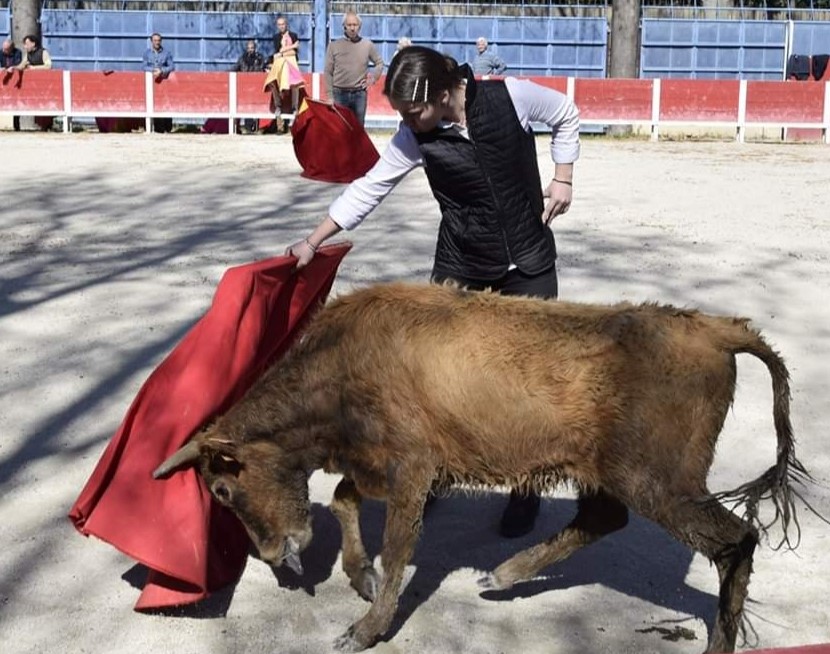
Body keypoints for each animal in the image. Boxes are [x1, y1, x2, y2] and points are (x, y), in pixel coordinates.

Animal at [154, 284, 820, 654]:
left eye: (222, 488)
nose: (275, 558)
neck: (340, 368)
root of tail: (714, 330)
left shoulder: (411, 470)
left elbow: (398, 544)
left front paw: (364, 628)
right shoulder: (378, 465)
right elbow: (344, 500)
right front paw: (361, 577)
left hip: (665, 485)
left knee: (736, 540)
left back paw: (719, 644)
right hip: (613, 474)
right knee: (604, 519)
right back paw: (501, 576)